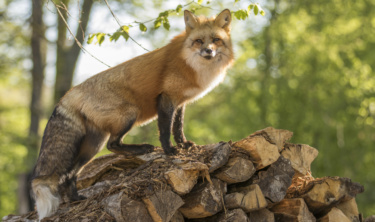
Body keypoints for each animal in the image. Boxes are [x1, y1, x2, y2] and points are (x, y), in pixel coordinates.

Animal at [30, 8, 234, 219]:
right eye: (199, 41)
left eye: (216, 40)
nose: (208, 51)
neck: (190, 63)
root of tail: (71, 92)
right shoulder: (166, 98)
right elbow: (165, 129)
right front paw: (169, 150)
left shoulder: (180, 101)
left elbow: (178, 128)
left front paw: (184, 145)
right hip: (128, 115)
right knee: (112, 145)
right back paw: (141, 149)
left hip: (93, 144)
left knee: (70, 174)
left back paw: (75, 198)